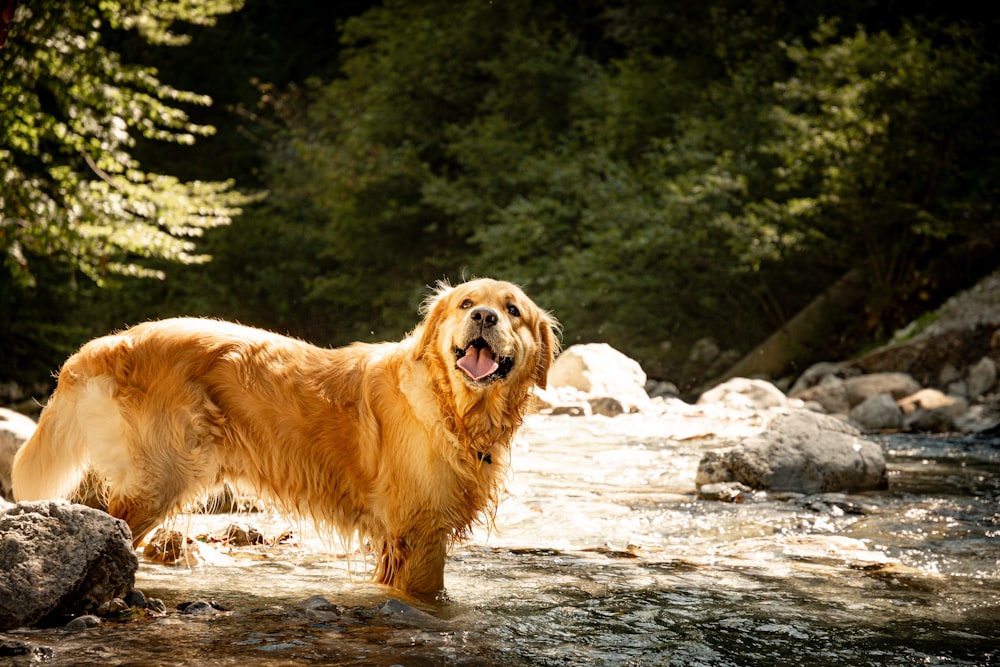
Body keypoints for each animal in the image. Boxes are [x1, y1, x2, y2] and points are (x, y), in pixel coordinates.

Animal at [11, 280, 560, 596]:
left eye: (513, 310)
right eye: (467, 303)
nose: (484, 317)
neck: (456, 409)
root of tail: (109, 342)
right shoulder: (419, 533)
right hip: (160, 477)